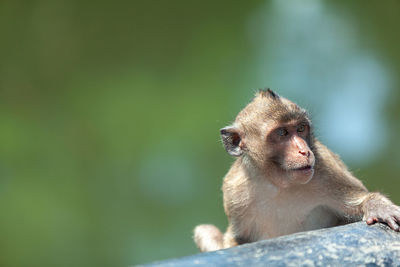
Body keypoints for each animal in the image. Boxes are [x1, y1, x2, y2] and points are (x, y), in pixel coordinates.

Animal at [193, 89, 400, 253]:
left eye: (301, 129)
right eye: (282, 133)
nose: (304, 151)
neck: (278, 184)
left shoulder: (326, 172)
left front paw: (378, 207)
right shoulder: (234, 192)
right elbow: (236, 241)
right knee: (204, 230)